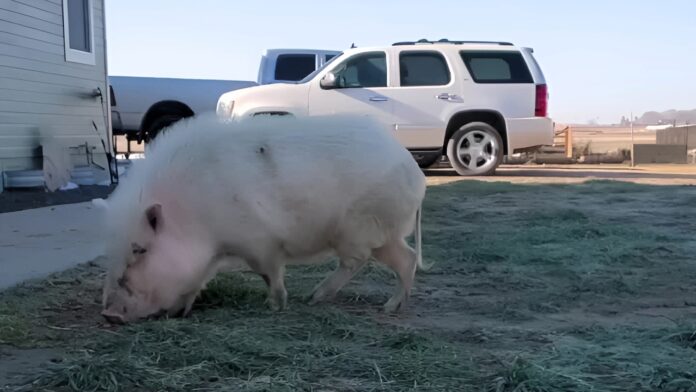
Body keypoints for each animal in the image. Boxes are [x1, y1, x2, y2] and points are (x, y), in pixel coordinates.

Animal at [96, 112, 426, 322]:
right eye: (111, 253)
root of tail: (415, 171)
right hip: (382, 233)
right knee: (406, 258)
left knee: (360, 260)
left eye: (140, 250)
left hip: (362, 226)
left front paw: (276, 305)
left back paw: (323, 298)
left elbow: (268, 272)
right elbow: (195, 281)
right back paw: (390, 307)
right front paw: (181, 311)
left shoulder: (260, 240)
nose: (109, 315)